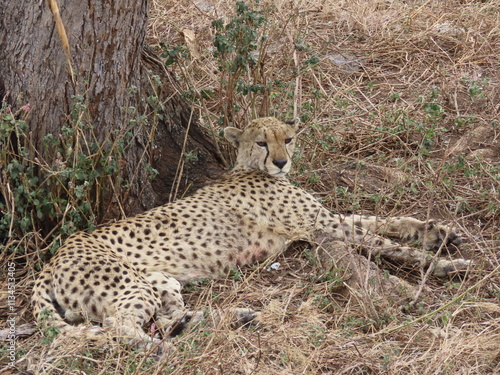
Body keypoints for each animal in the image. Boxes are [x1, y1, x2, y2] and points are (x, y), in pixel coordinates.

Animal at [31, 117, 468, 352]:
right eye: (262, 142)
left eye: (287, 139)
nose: (282, 162)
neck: (249, 167)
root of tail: (55, 255)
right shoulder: (321, 226)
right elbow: (383, 241)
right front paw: (442, 265)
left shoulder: (322, 220)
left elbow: (379, 221)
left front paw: (437, 232)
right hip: (129, 286)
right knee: (119, 327)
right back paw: (158, 351)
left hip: (160, 280)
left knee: (169, 317)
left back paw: (236, 317)